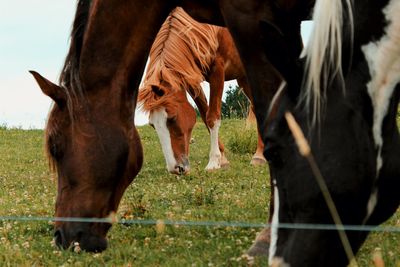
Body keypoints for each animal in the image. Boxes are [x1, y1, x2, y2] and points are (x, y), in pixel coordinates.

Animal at [138, 7, 276, 175]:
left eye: (172, 118)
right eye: (152, 124)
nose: (176, 169)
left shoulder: (218, 70)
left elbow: (212, 117)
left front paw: (213, 162)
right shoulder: (191, 78)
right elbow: (204, 115)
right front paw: (222, 159)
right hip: (243, 78)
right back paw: (259, 155)